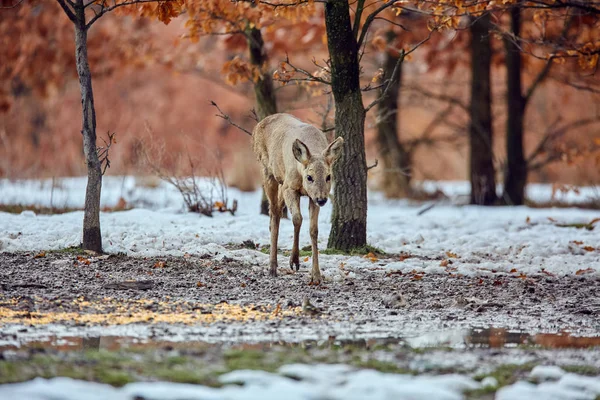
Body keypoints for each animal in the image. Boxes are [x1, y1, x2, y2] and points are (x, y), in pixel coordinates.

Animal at [252, 111, 342, 284]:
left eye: (329, 176)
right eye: (309, 177)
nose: (322, 200)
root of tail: (259, 124)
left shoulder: (311, 197)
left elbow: (313, 229)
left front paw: (316, 275)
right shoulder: (290, 188)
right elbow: (297, 219)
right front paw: (293, 260)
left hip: (282, 183)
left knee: (276, 211)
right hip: (268, 172)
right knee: (274, 213)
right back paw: (272, 267)